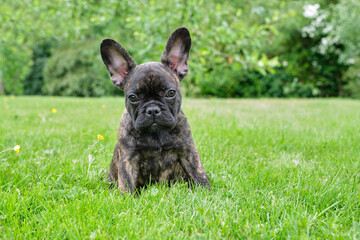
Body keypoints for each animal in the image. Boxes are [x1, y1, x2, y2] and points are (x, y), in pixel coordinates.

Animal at [100, 27, 210, 194]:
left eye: (171, 93)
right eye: (133, 97)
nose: (152, 110)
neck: (157, 134)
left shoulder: (188, 152)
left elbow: (199, 173)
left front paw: (208, 193)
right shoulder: (128, 159)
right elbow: (126, 182)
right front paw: (127, 198)